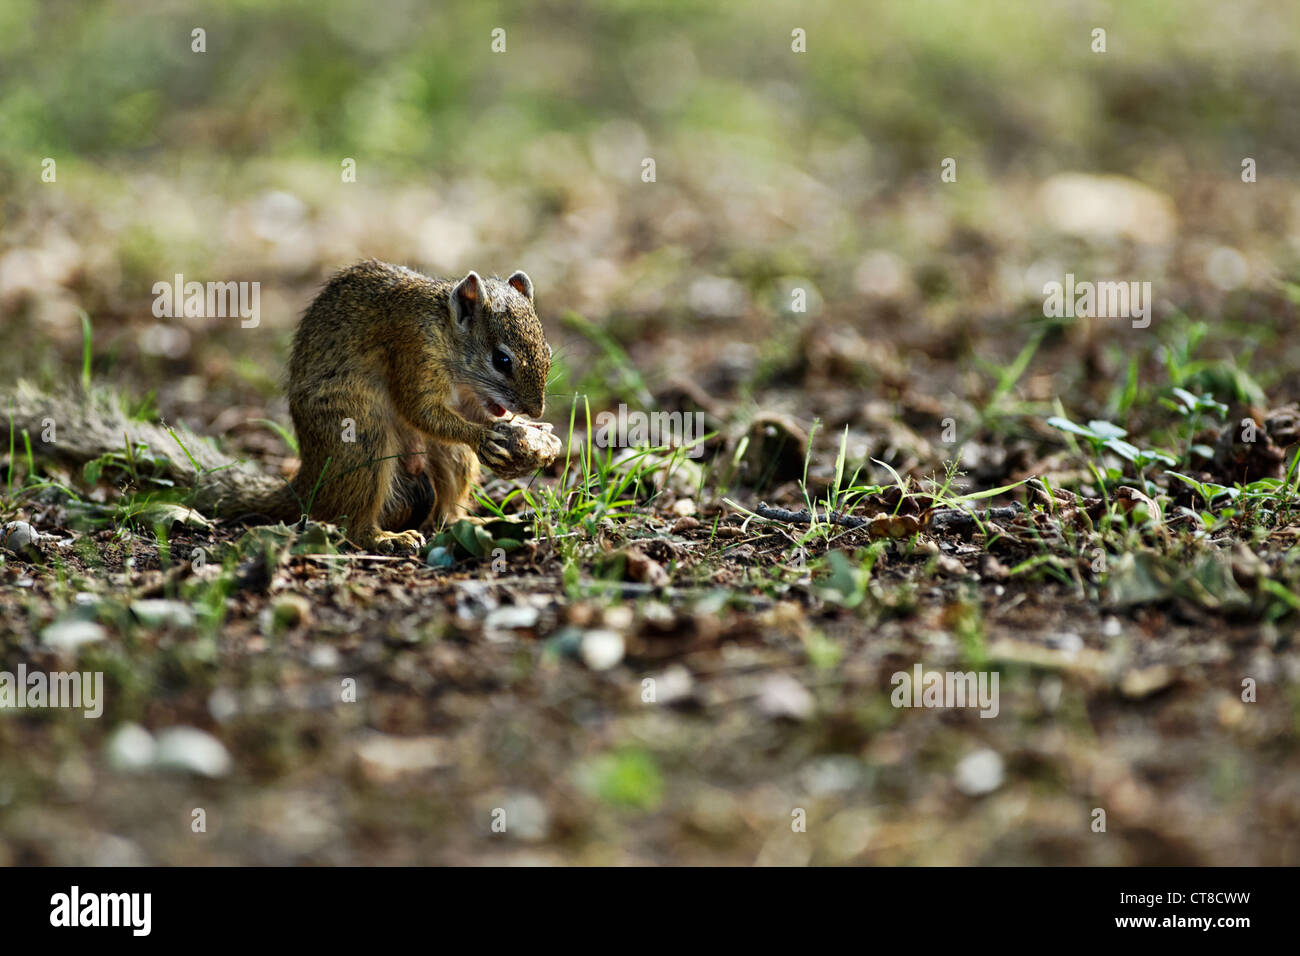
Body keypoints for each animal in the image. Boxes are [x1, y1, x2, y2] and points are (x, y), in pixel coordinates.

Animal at [5, 260, 553, 554]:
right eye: (502, 359)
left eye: (547, 351)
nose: (534, 406)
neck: (444, 327)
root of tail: (306, 485)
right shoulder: (409, 351)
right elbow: (420, 410)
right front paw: (494, 436)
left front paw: (530, 436)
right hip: (362, 440)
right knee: (355, 525)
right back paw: (384, 539)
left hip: (443, 464)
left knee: (442, 510)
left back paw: (469, 524)